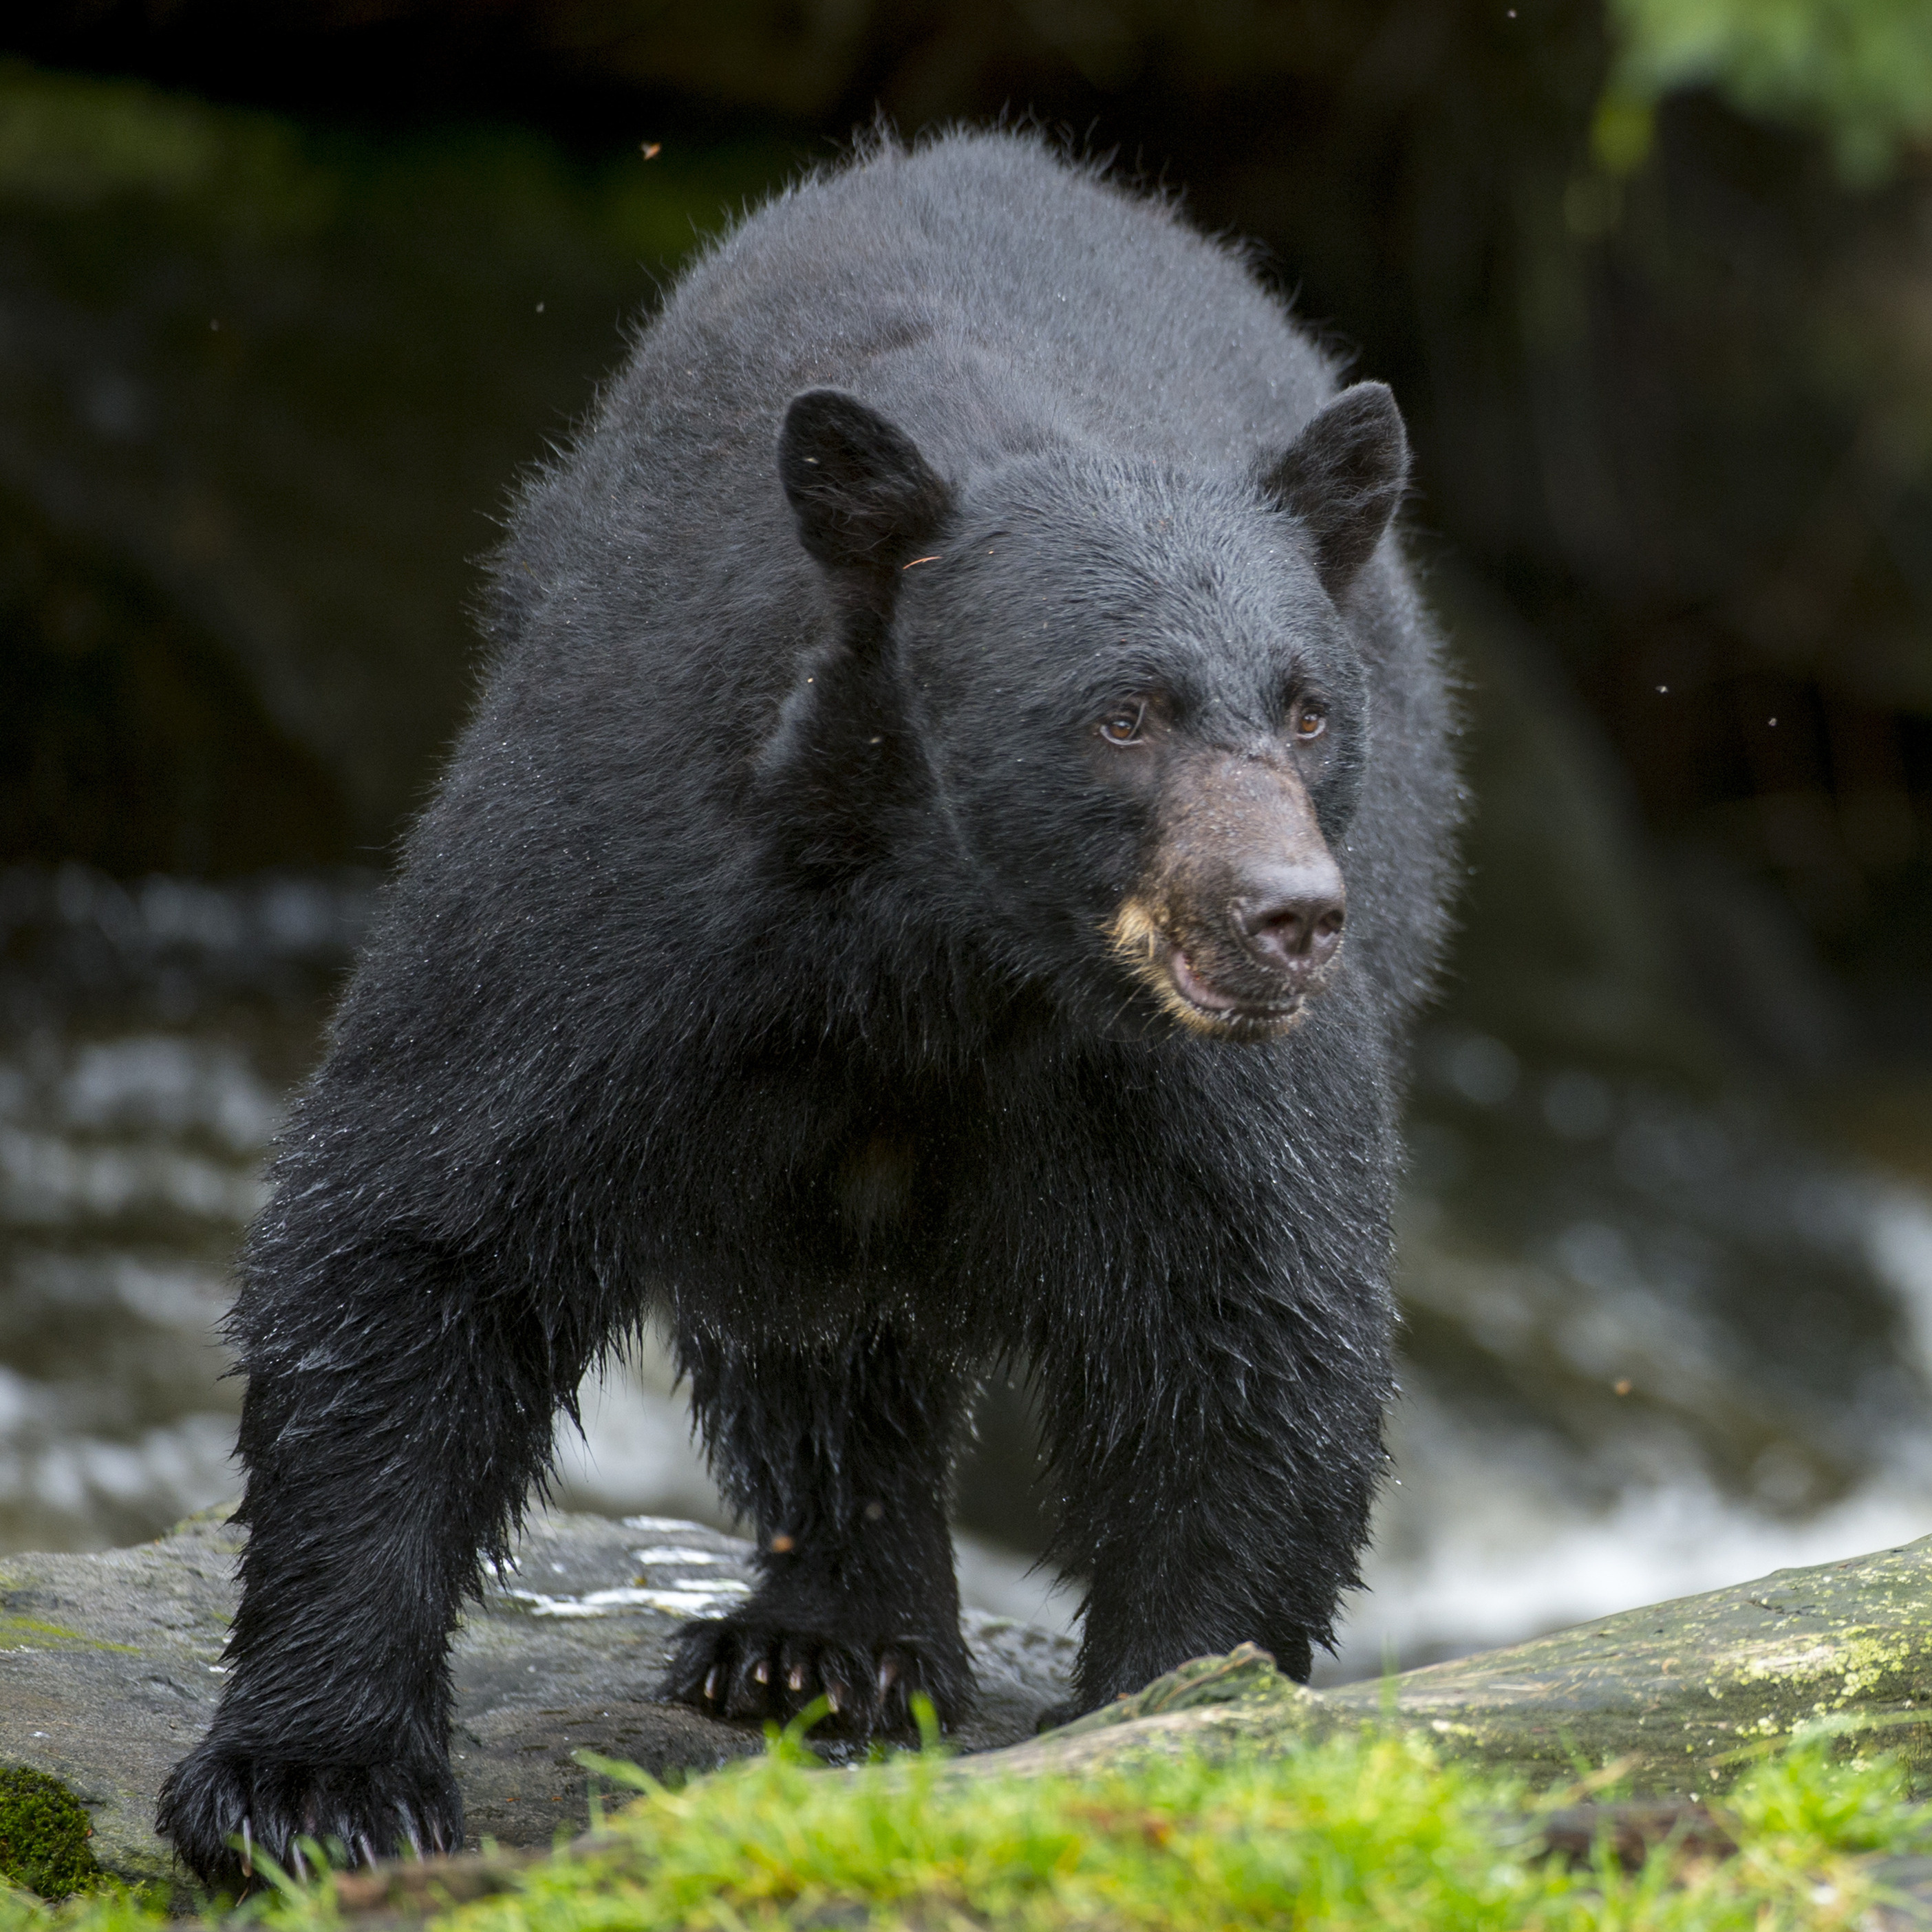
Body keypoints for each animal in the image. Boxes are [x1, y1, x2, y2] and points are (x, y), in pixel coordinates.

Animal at [157, 130, 1457, 1886]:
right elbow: (426, 1220)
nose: (1289, 919)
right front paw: (313, 1785)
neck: (949, 949)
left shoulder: (1186, 1080)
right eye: (1123, 712)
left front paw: (1171, 1709)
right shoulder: (634, 896)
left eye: (1308, 710)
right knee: (808, 1328)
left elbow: (1252, 1326)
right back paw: (825, 1641)